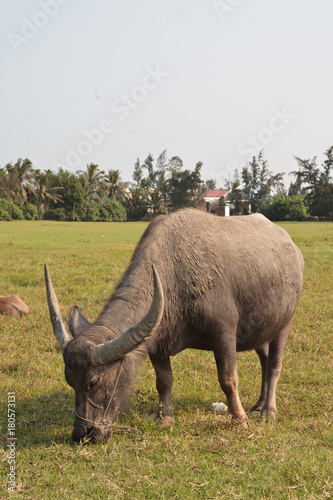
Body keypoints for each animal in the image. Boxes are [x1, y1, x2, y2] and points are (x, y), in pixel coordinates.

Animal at [44, 209, 304, 444]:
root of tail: (293, 249)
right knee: (264, 360)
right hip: (262, 329)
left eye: (93, 382)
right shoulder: (157, 341)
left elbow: (228, 379)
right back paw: (258, 404)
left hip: (285, 323)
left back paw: (268, 411)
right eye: (70, 381)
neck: (176, 276)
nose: (81, 435)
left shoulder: (224, 334)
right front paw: (165, 418)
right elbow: (164, 381)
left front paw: (239, 419)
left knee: (274, 366)